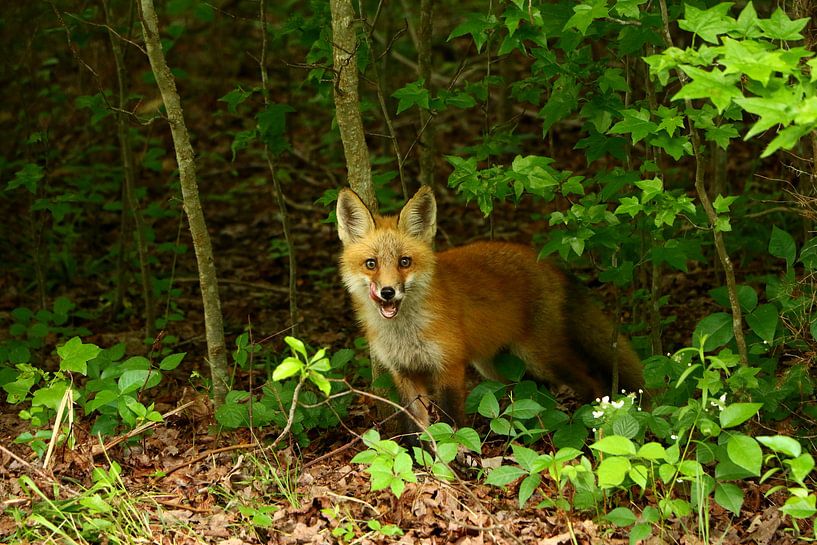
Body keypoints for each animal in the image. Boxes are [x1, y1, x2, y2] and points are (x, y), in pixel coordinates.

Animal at [334, 185, 640, 440]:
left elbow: (452, 423)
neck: (405, 333)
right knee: (535, 392)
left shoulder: (449, 366)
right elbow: (416, 429)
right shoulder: (404, 373)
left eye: (404, 262)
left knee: (591, 382)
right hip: (495, 366)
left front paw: (459, 462)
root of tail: (548, 264)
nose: (388, 292)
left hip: (543, 357)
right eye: (371, 264)